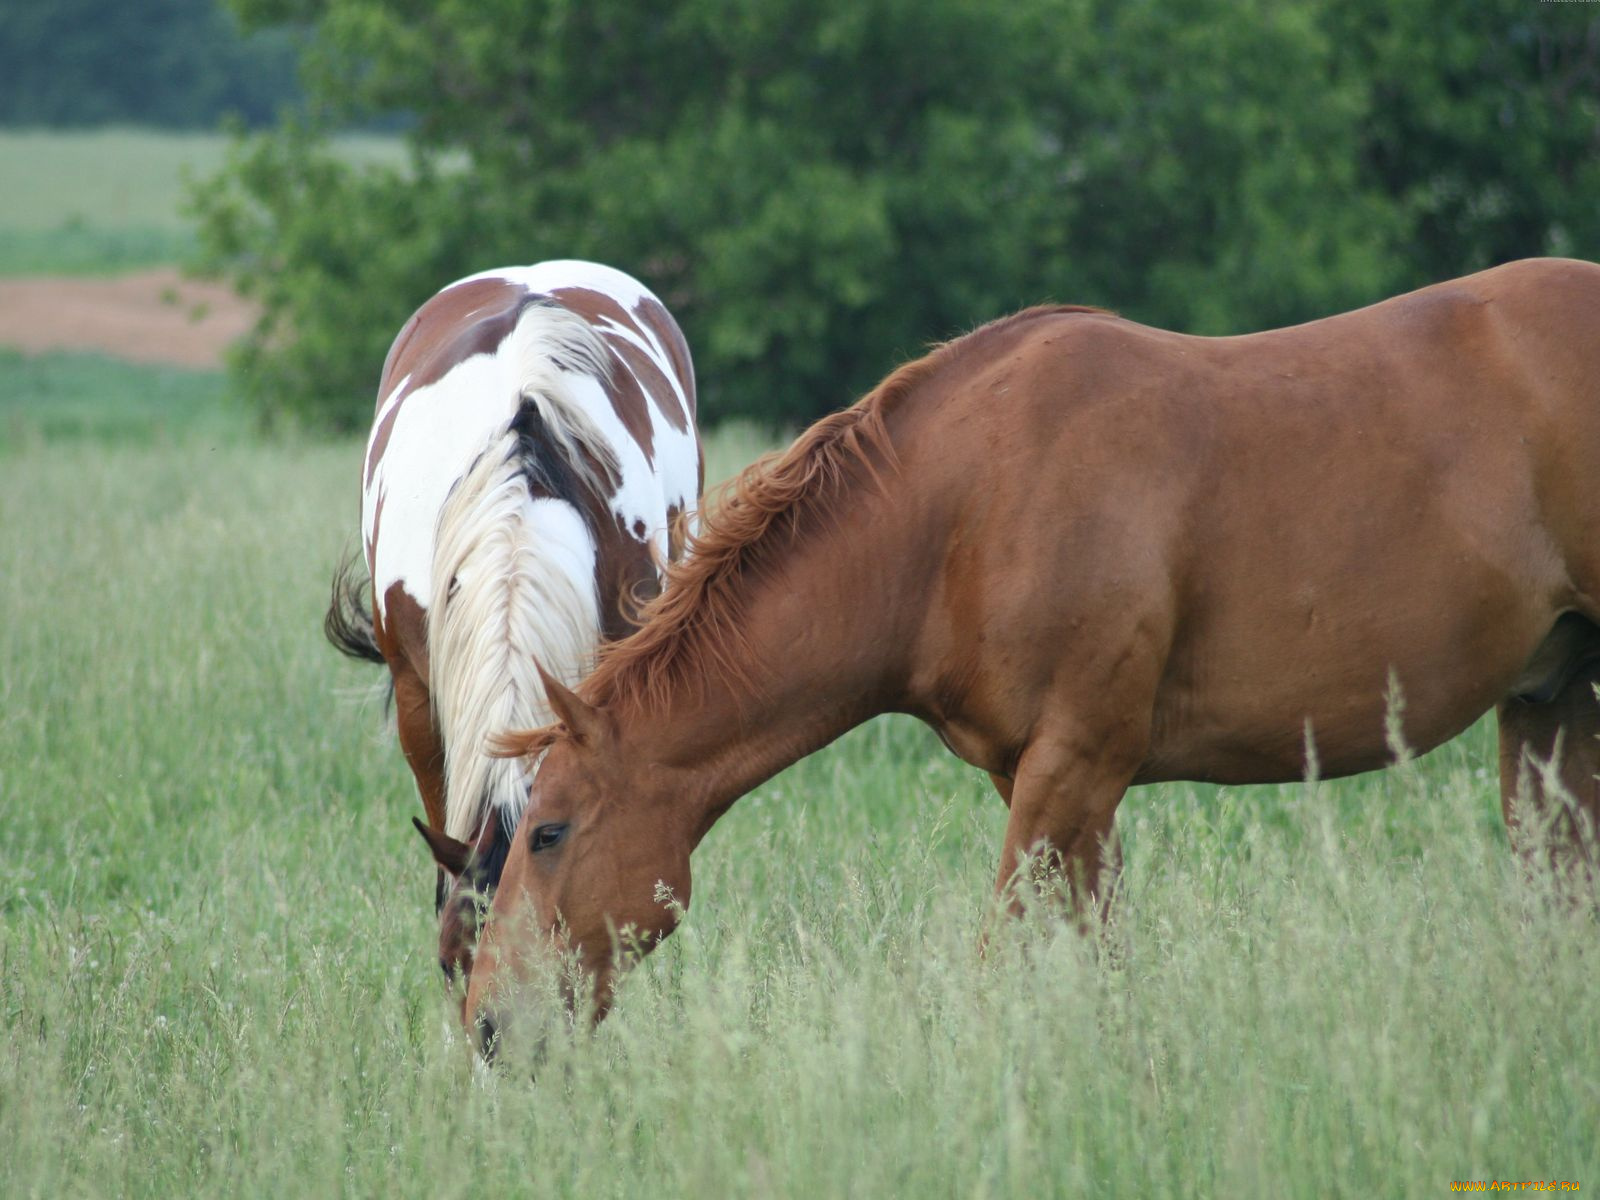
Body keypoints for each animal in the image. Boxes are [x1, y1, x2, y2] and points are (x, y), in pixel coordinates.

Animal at [467, 259, 1600, 1056]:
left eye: (551, 832)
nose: (484, 1023)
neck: (964, 510)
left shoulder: (1073, 769)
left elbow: (1004, 959)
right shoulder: (1058, 786)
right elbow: (1097, 963)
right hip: (1549, 705)